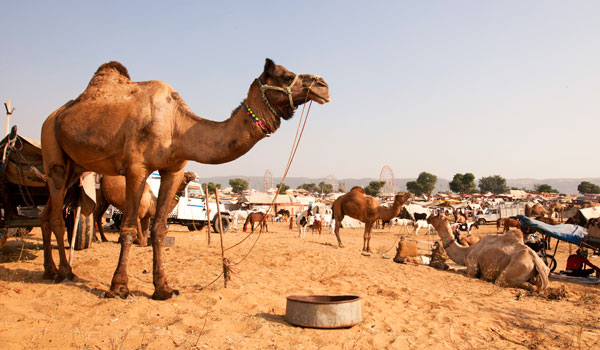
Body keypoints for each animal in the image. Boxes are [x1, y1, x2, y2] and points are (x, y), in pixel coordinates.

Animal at [39, 58, 330, 300]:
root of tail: (53, 116)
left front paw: (163, 288)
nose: (324, 86)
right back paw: (65, 272)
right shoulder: (136, 167)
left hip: (74, 167)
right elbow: (129, 227)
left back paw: (50, 270)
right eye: (286, 75)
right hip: (52, 146)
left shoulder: (174, 169)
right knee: (56, 215)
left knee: (46, 214)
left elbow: (159, 228)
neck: (177, 128)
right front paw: (119, 287)